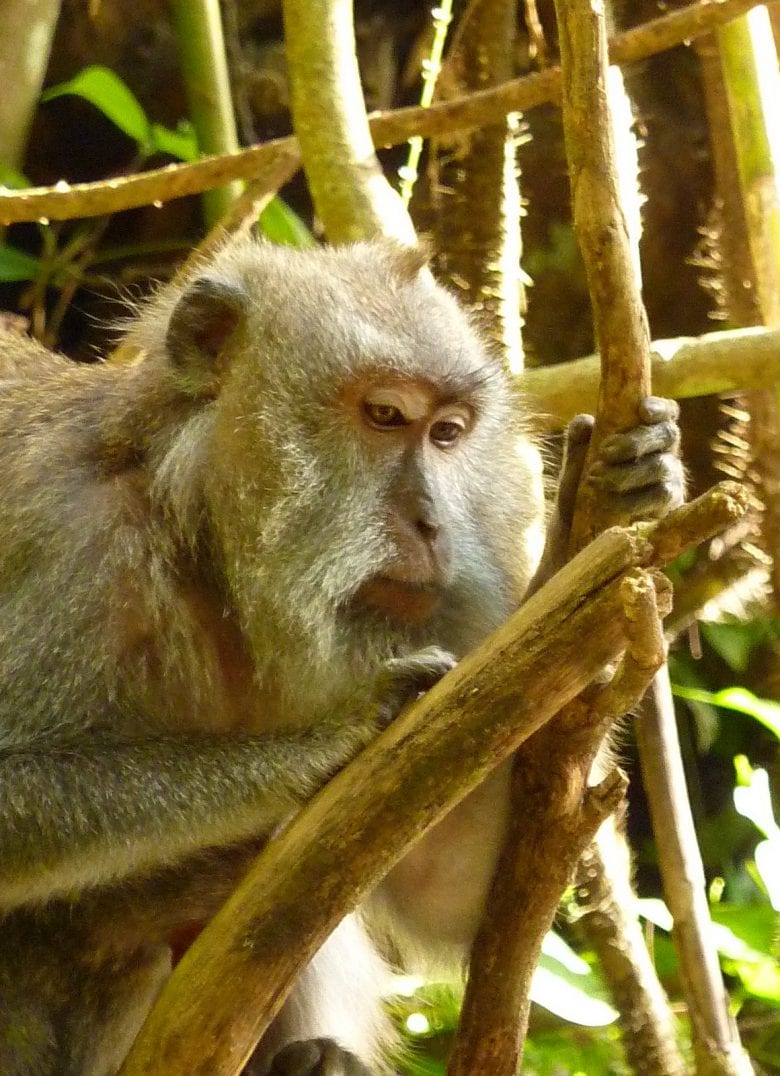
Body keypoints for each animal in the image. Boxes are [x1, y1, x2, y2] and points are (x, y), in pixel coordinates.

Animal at [0, 237, 679, 1076]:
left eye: (448, 434)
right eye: (385, 416)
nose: (431, 523)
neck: (201, 548)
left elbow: (450, 891)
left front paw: (583, 545)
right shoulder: (75, 544)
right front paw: (333, 738)